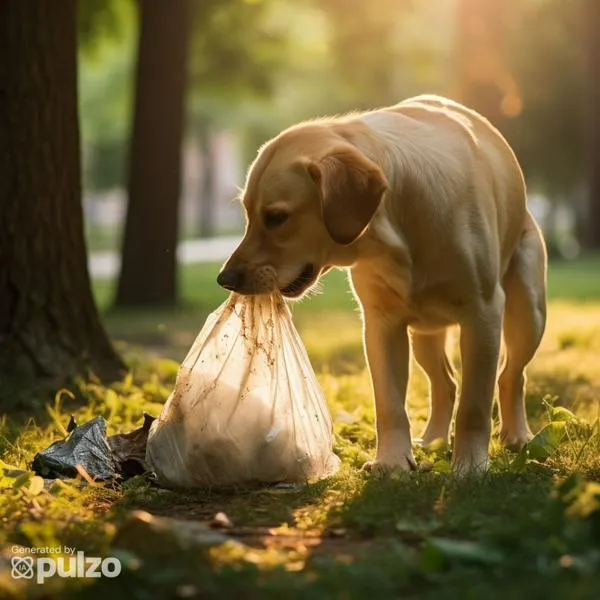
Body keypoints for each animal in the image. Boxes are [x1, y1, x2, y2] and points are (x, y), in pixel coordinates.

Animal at [217, 96, 548, 476]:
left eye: (276, 217)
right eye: (248, 214)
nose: (225, 279)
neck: (395, 231)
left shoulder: (483, 316)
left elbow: (475, 406)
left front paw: (469, 466)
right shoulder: (381, 324)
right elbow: (390, 405)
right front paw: (392, 462)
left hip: (528, 315)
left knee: (511, 376)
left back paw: (517, 436)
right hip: (425, 336)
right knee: (445, 384)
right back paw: (433, 440)